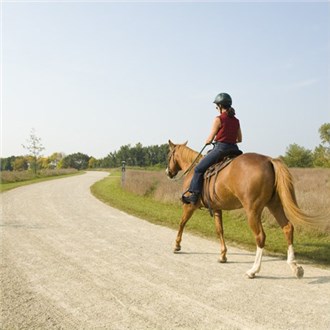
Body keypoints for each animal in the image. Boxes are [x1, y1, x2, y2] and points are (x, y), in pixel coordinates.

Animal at [166, 139, 326, 278]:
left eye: (169, 155)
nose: (168, 172)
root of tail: (269, 160)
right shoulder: (217, 209)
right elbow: (220, 230)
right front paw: (223, 255)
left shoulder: (189, 205)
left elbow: (182, 223)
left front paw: (177, 246)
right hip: (274, 204)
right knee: (287, 228)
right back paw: (295, 266)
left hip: (253, 211)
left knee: (260, 236)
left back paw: (254, 270)